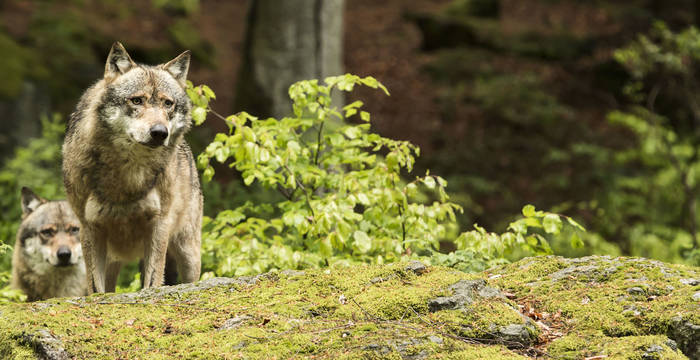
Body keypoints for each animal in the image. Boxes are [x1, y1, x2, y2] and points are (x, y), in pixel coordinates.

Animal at [62, 43, 202, 296]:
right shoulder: (89, 228)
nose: (160, 132)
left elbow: (153, 280)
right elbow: (95, 288)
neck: (128, 174)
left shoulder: (159, 224)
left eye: (168, 104)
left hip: (188, 252)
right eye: (137, 101)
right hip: (112, 259)